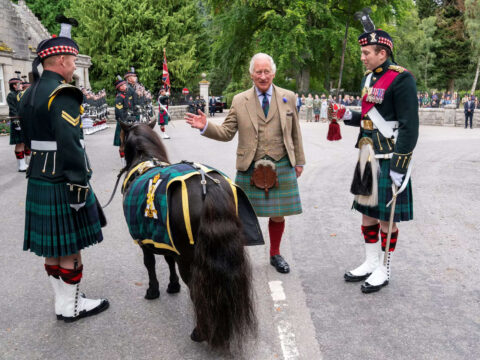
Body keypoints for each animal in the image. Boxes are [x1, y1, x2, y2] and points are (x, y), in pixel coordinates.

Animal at [112, 121, 262, 352]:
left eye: (121, 135)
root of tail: (207, 185)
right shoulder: (163, 237)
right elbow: (167, 259)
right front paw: (172, 285)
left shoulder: (145, 242)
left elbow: (150, 264)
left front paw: (153, 290)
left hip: (188, 259)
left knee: (197, 293)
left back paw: (201, 332)